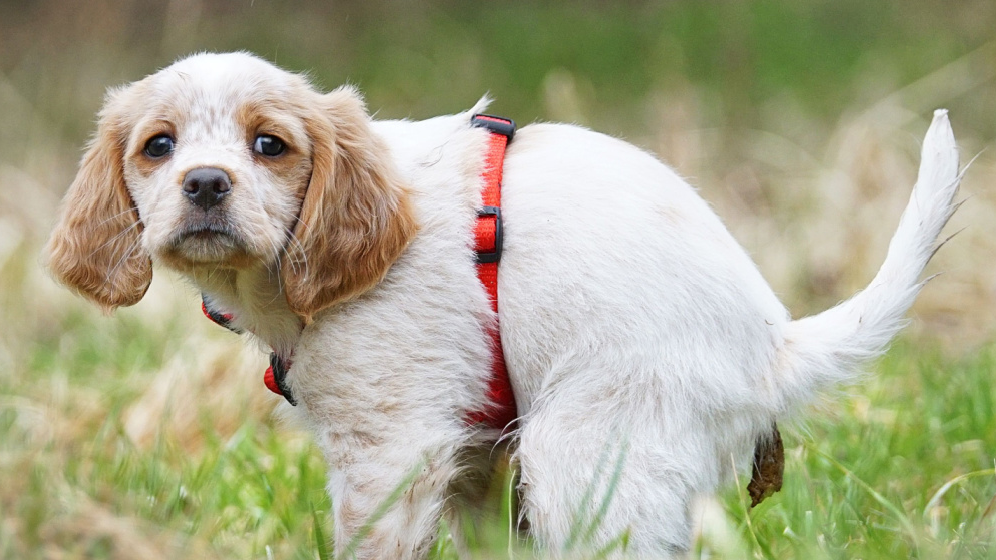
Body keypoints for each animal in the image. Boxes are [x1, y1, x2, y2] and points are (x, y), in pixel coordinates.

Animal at [42, 51, 960, 556]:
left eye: (270, 145)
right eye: (158, 146)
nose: (204, 184)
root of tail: (772, 346)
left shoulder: (391, 449)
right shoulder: (473, 458)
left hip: (587, 457)